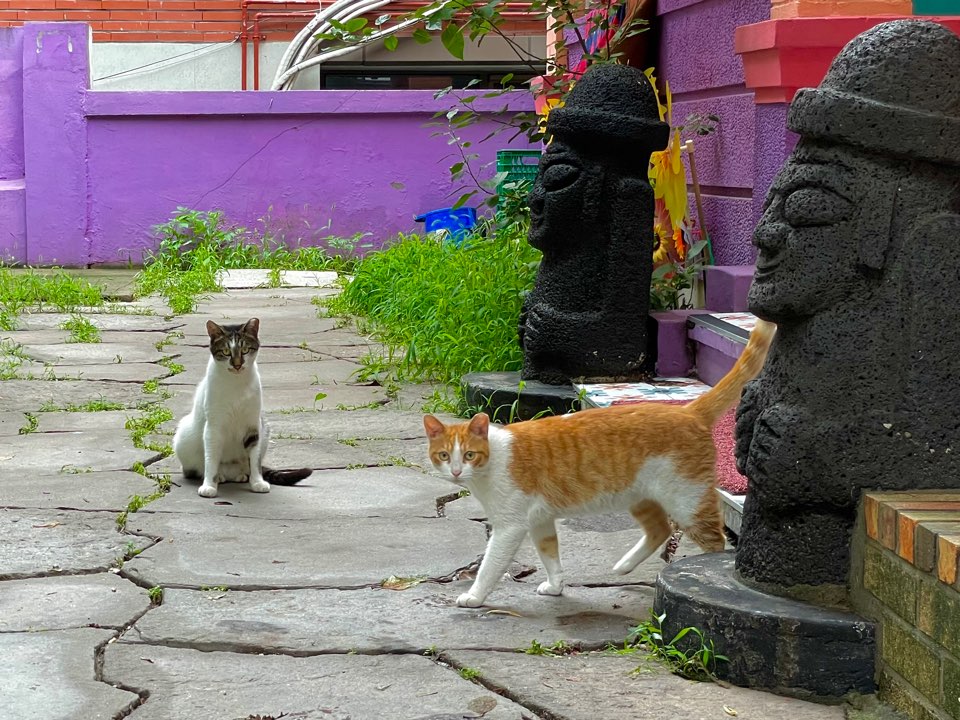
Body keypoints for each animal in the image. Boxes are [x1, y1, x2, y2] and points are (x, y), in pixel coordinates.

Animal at [174, 318, 314, 498]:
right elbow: (211, 460)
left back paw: (240, 475)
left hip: (265, 430)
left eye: (245, 350)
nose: (237, 365)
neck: (237, 384)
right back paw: (219, 476)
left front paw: (257, 482)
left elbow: (255, 460)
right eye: (226, 351)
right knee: (196, 468)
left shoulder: (253, 426)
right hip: (184, 437)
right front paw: (209, 485)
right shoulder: (213, 427)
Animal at [424, 320, 776, 608]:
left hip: (687, 501)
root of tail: (688, 411)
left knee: (713, 540)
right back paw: (625, 565)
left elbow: (490, 565)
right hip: (639, 497)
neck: (492, 463)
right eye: (444, 455)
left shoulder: (510, 528)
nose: (456, 471)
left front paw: (474, 596)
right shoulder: (540, 521)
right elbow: (550, 555)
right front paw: (555, 586)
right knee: (659, 529)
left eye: (469, 455)